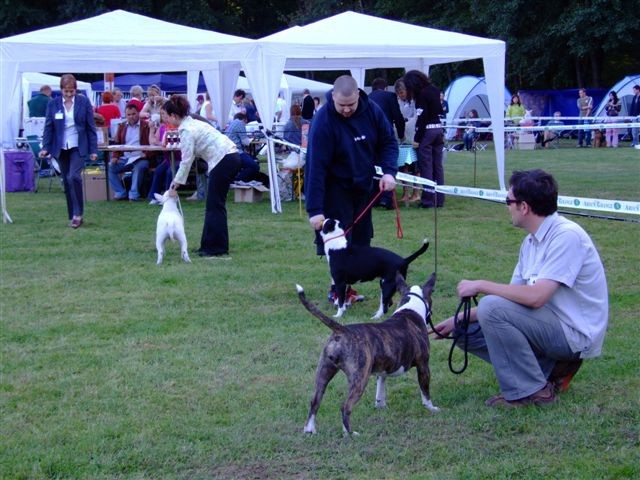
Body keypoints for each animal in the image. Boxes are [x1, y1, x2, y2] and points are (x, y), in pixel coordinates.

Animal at [296, 274, 438, 436]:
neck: (411, 308)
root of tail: (342, 330)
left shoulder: (383, 370)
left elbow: (380, 390)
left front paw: (381, 406)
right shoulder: (423, 365)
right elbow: (425, 390)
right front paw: (431, 408)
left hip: (324, 370)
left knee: (315, 400)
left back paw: (309, 429)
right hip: (360, 378)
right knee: (345, 406)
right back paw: (350, 434)